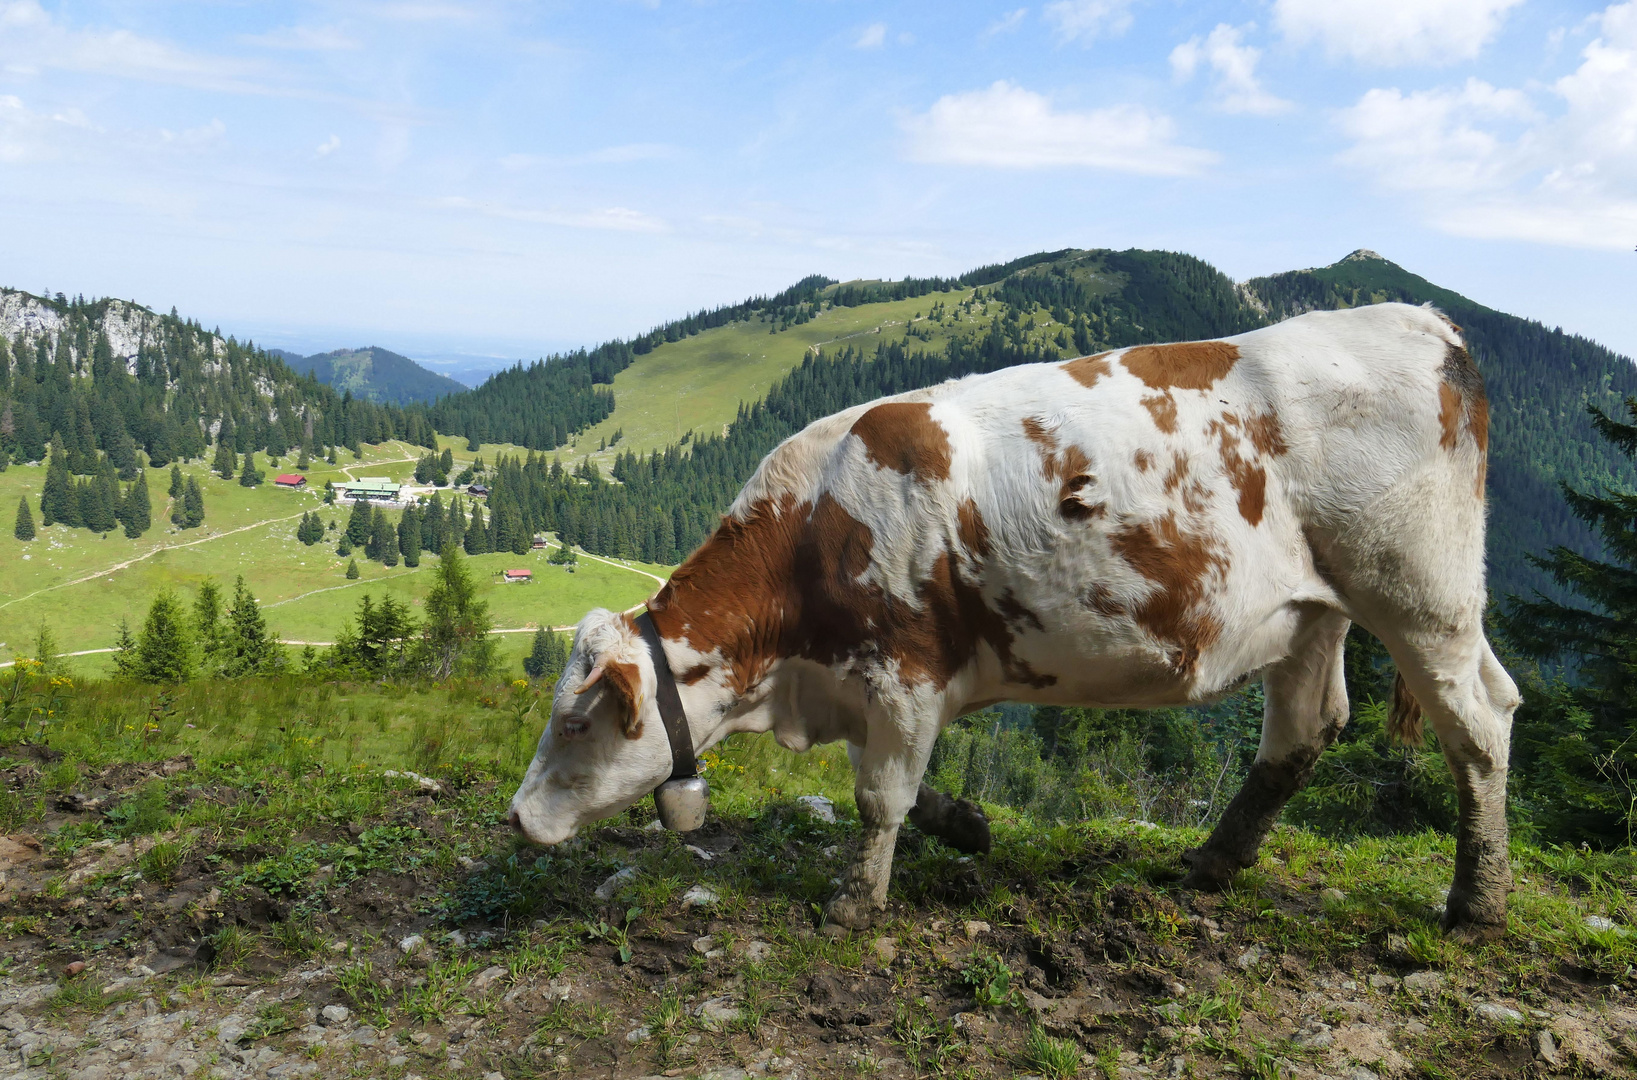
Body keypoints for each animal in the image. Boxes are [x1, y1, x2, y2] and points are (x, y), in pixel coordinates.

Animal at [510, 301, 1519, 936]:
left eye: (576, 722)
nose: (517, 821)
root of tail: (1421, 320)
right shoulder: (869, 684)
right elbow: (904, 786)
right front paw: (965, 825)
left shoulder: (905, 665)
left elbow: (877, 797)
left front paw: (854, 903)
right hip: (1312, 611)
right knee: (1305, 732)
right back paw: (1212, 861)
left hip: (1420, 596)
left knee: (1477, 725)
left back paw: (1476, 903)